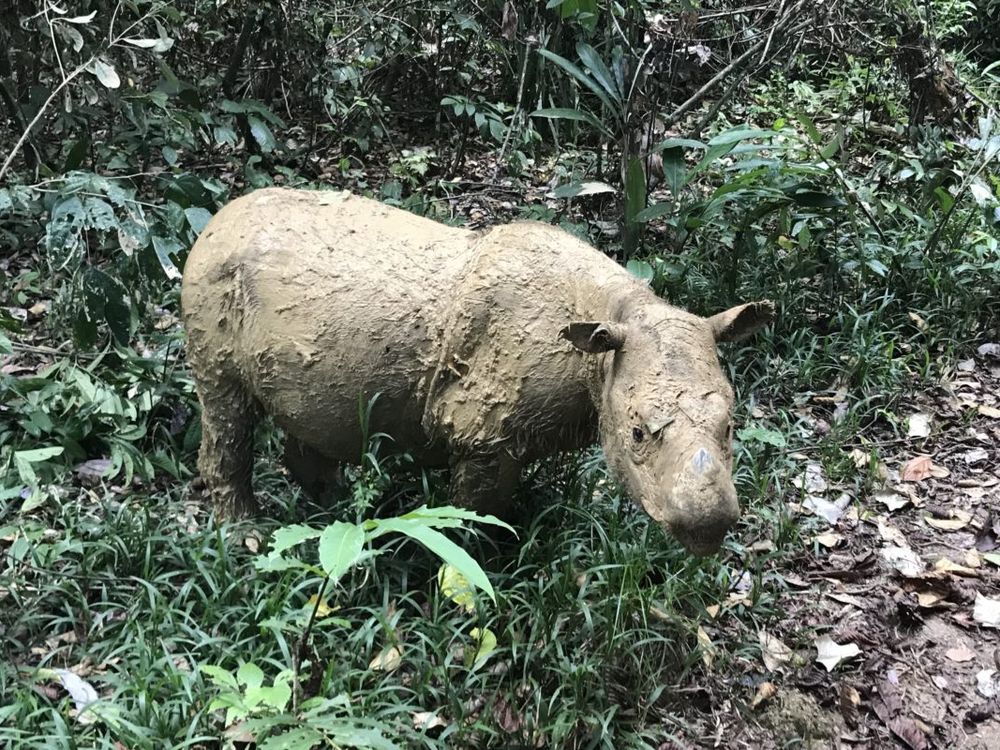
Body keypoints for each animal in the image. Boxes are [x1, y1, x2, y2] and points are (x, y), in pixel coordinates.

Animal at [182, 191, 772, 560]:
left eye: (730, 426)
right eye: (637, 434)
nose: (709, 525)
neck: (613, 325)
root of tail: (211, 222)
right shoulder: (483, 436)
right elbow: (470, 517)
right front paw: (465, 577)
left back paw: (333, 510)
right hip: (211, 279)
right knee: (226, 403)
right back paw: (247, 537)